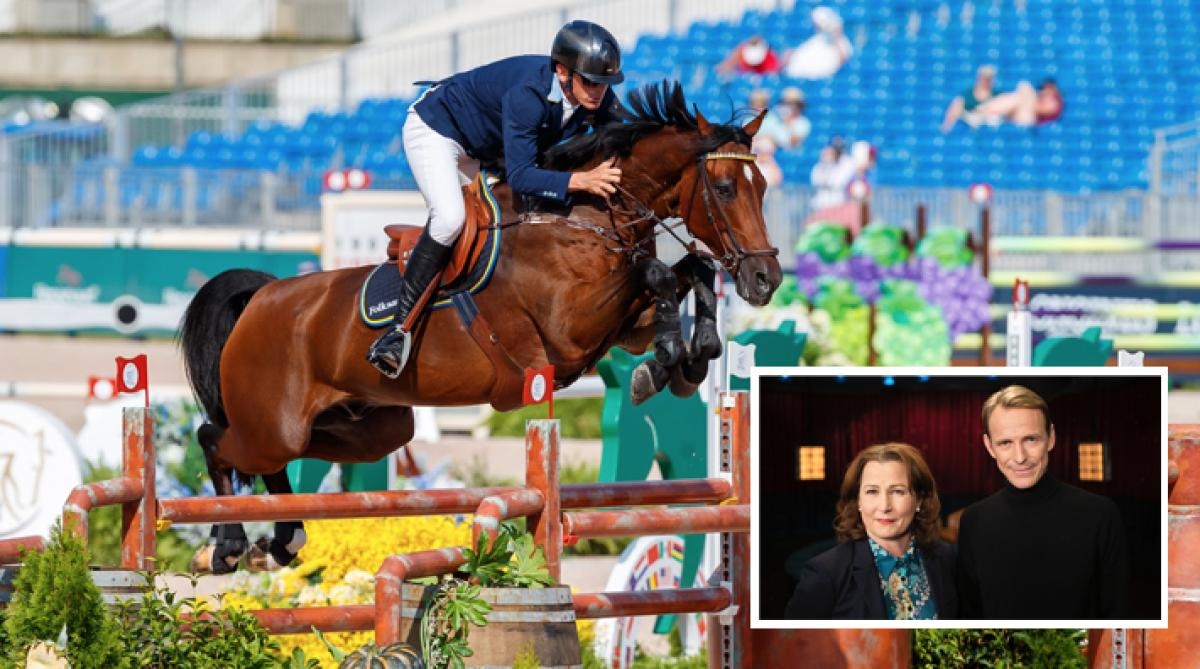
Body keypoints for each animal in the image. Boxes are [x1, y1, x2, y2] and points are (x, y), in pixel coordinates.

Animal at [175, 82, 777, 577]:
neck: (583, 217)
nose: (765, 279)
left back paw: (278, 541)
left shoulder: (619, 327)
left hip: (368, 429)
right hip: (273, 423)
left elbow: (689, 272)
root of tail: (263, 297)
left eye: (763, 186)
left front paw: (690, 357)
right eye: (725, 187)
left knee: (282, 459)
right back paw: (226, 546)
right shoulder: (570, 328)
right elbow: (658, 274)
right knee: (216, 440)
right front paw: (672, 355)